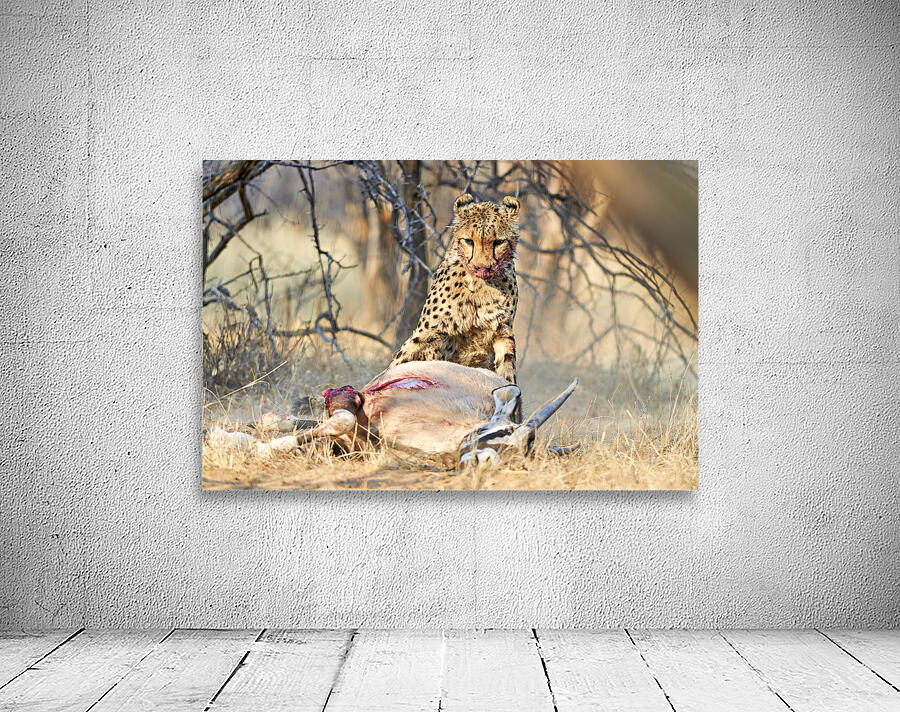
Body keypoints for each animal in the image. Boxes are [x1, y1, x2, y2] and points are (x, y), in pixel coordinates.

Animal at [391, 193, 520, 385]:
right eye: (468, 241)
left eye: (498, 242)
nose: (482, 267)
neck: (479, 287)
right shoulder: (430, 331)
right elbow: (405, 359)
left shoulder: (502, 330)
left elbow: (507, 368)